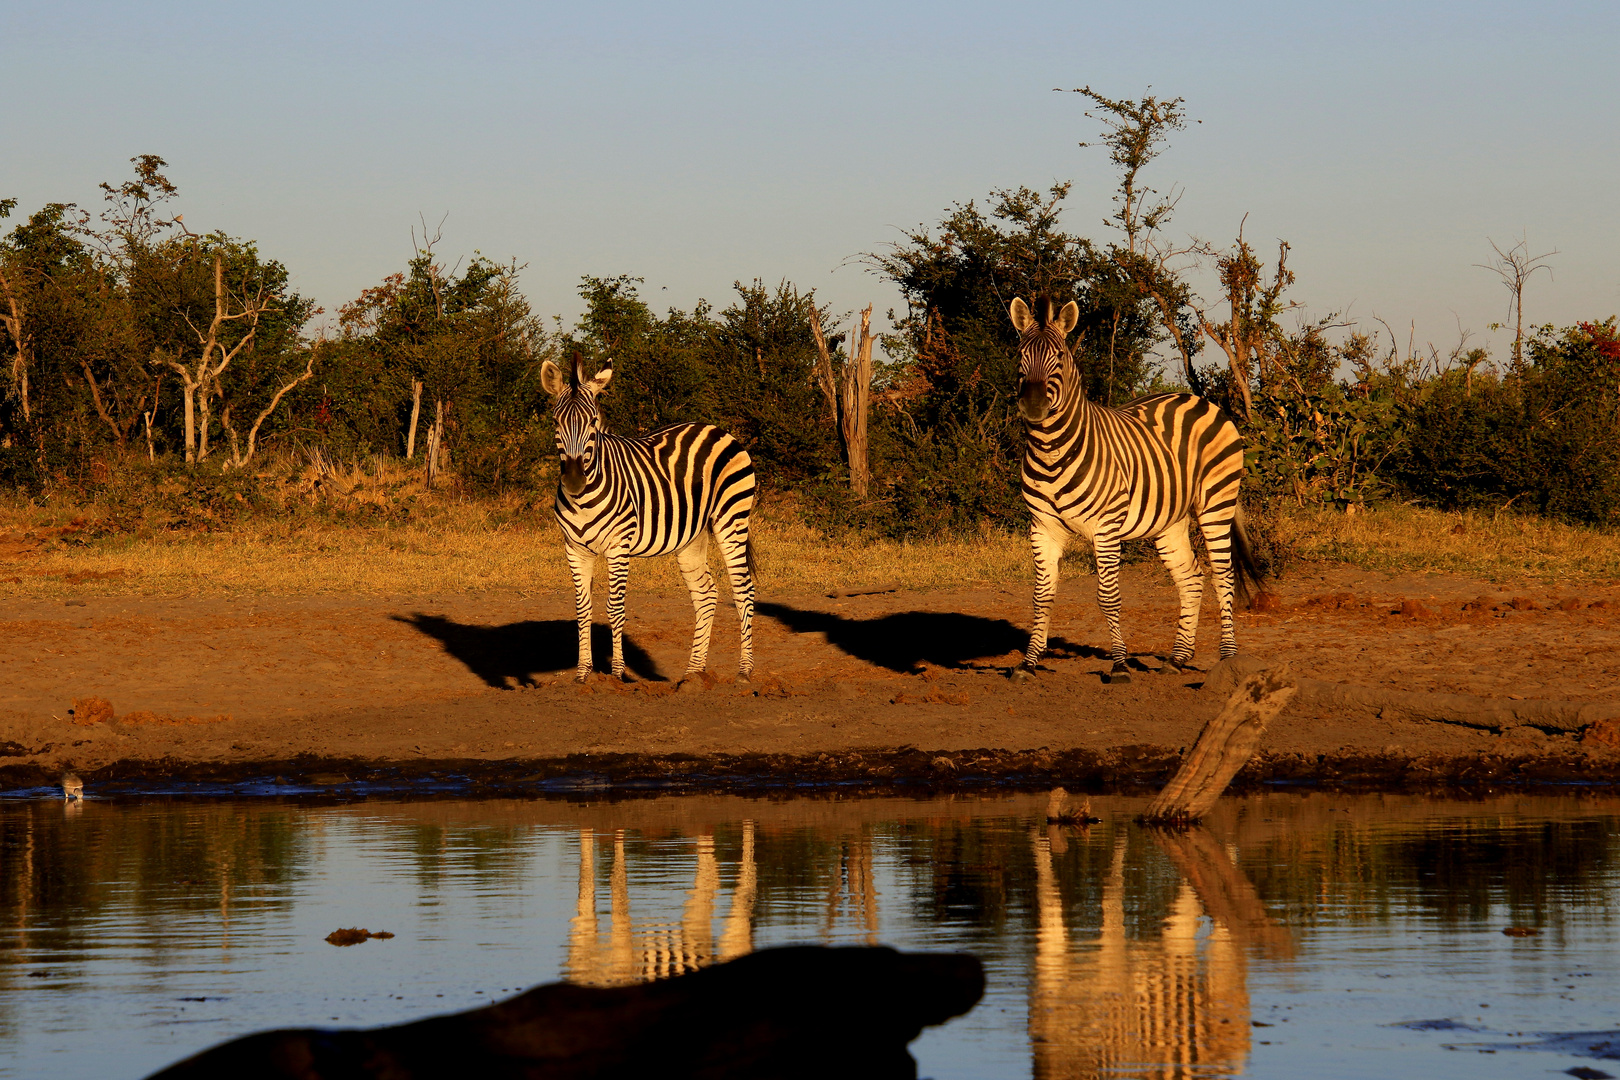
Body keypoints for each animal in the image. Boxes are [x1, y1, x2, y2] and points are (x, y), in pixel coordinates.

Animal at [537, 352, 751, 683]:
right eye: (555, 422)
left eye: (593, 422)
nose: (573, 480)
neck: (584, 499)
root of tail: (715, 428)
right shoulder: (574, 549)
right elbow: (582, 609)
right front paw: (583, 673)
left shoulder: (618, 546)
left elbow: (614, 608)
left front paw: (617, 673)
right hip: (692, 536)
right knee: (706, 594)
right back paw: (694, 672)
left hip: (732, 520)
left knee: (743, 591)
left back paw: (744, 671)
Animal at [1010, 296, 1263, 683]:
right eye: (1020, 354)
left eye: (1061, 357)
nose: (1034, 405)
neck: (1051, 450)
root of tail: (1197, 399)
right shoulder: (1042, 528)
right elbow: (1041, 596)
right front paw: (1028, 663)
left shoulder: (1105, 527)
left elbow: (1108, 596)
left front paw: (1119, 665)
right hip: (1170, 520)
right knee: (1192, 579)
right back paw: (1177, 659)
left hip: (1216, 504)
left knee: (1223, 578)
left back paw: (1228, 659)